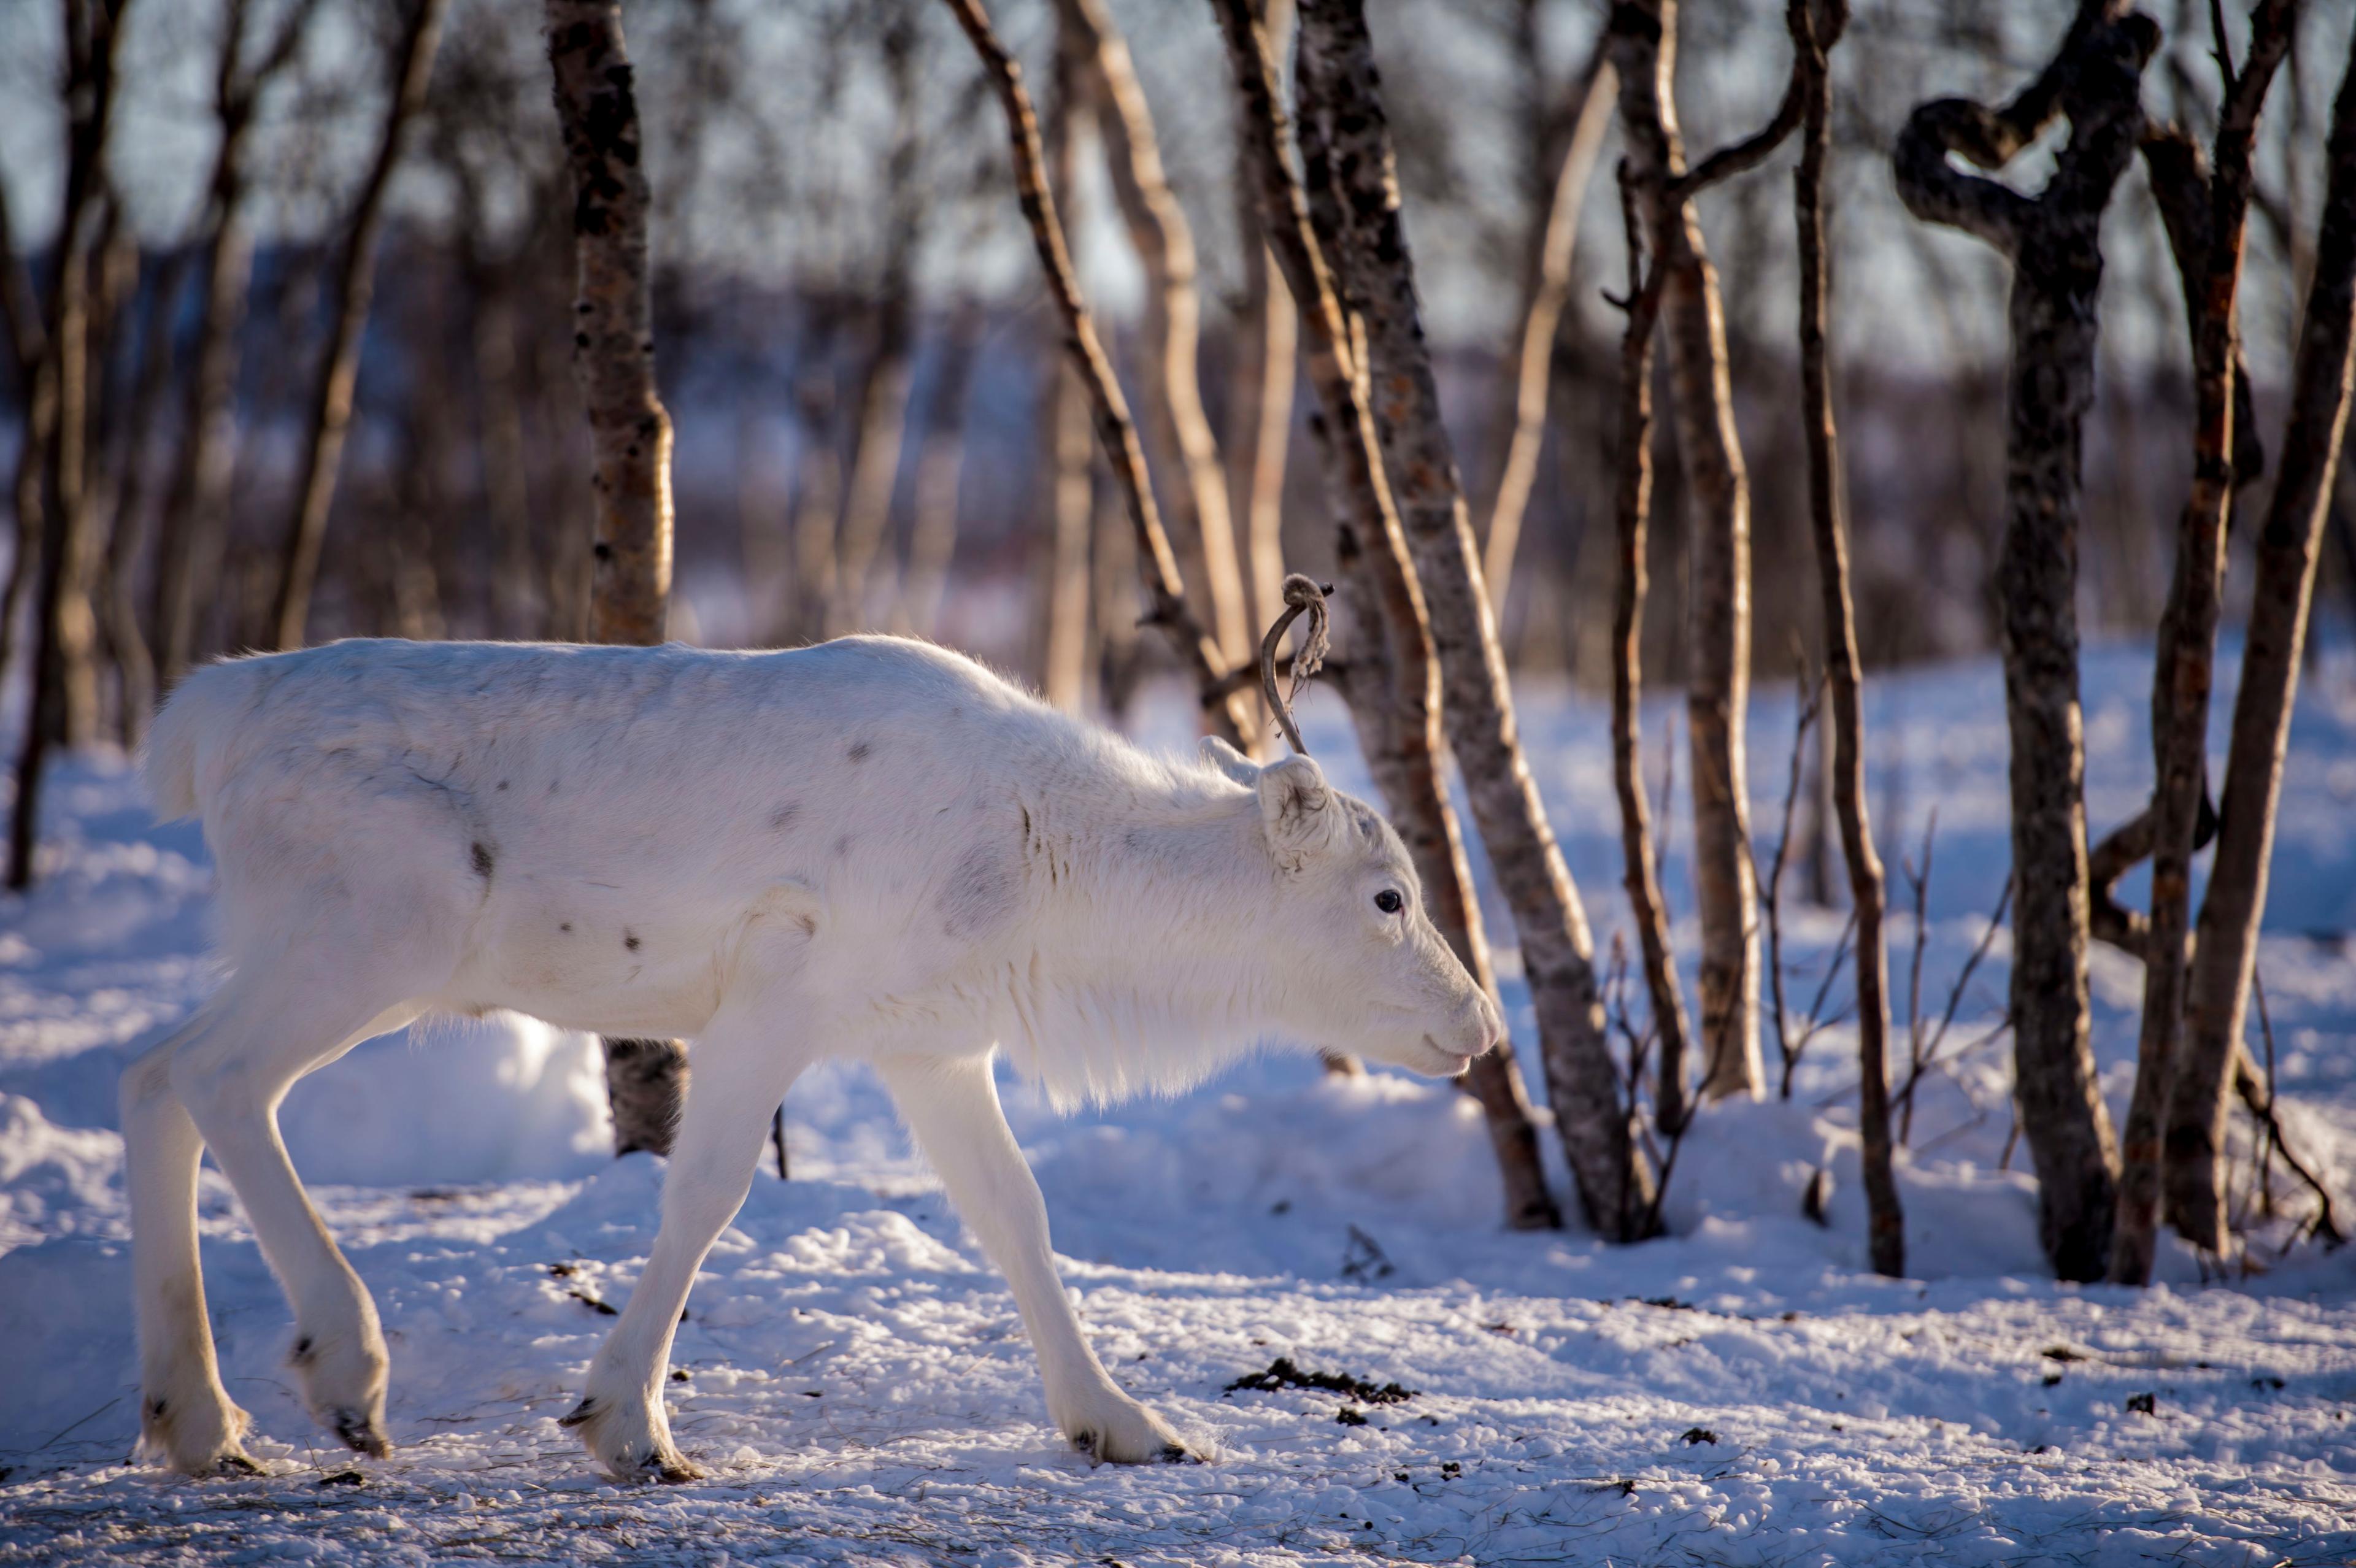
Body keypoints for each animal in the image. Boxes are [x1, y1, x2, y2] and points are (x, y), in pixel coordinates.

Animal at [119, 631, 1498, 1469]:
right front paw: (629, 1423)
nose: (1481, 1027)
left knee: (152, 1070)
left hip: (332, 952)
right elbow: (706, 1194)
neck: (1057, 879)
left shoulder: (935, 1050)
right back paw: (344, 1371)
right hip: (384, 931)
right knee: (216, 1078)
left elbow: (1017, 1214)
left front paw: (1122, 1422)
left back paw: (198, 1422)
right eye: (1388, 897)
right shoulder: (774, 1001)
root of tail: (200, 721)